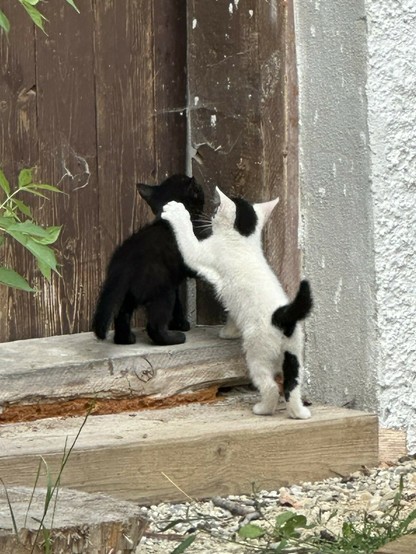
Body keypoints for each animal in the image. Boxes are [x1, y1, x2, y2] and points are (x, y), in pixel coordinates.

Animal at [93, 175, 206, 342]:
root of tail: (124, 262)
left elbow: (178, 304)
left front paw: (179, 323)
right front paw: (180, 326)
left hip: (128, 293)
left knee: (122, 314)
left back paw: (126, 339)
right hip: (162, 290)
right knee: (155, 325)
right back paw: (173, 338)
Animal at [162, 188, 312, 416]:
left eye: (216, 209)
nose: (210, 216)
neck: (243, 239)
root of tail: (284, 316)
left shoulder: (200, 253)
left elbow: (187, 240)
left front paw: (176, 212)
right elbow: (231, 313)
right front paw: (229, 332)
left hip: (258, 354)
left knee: (270, 387)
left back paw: (262, 409)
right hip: (294, 356)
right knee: (291, 387)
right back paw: (299, 414)